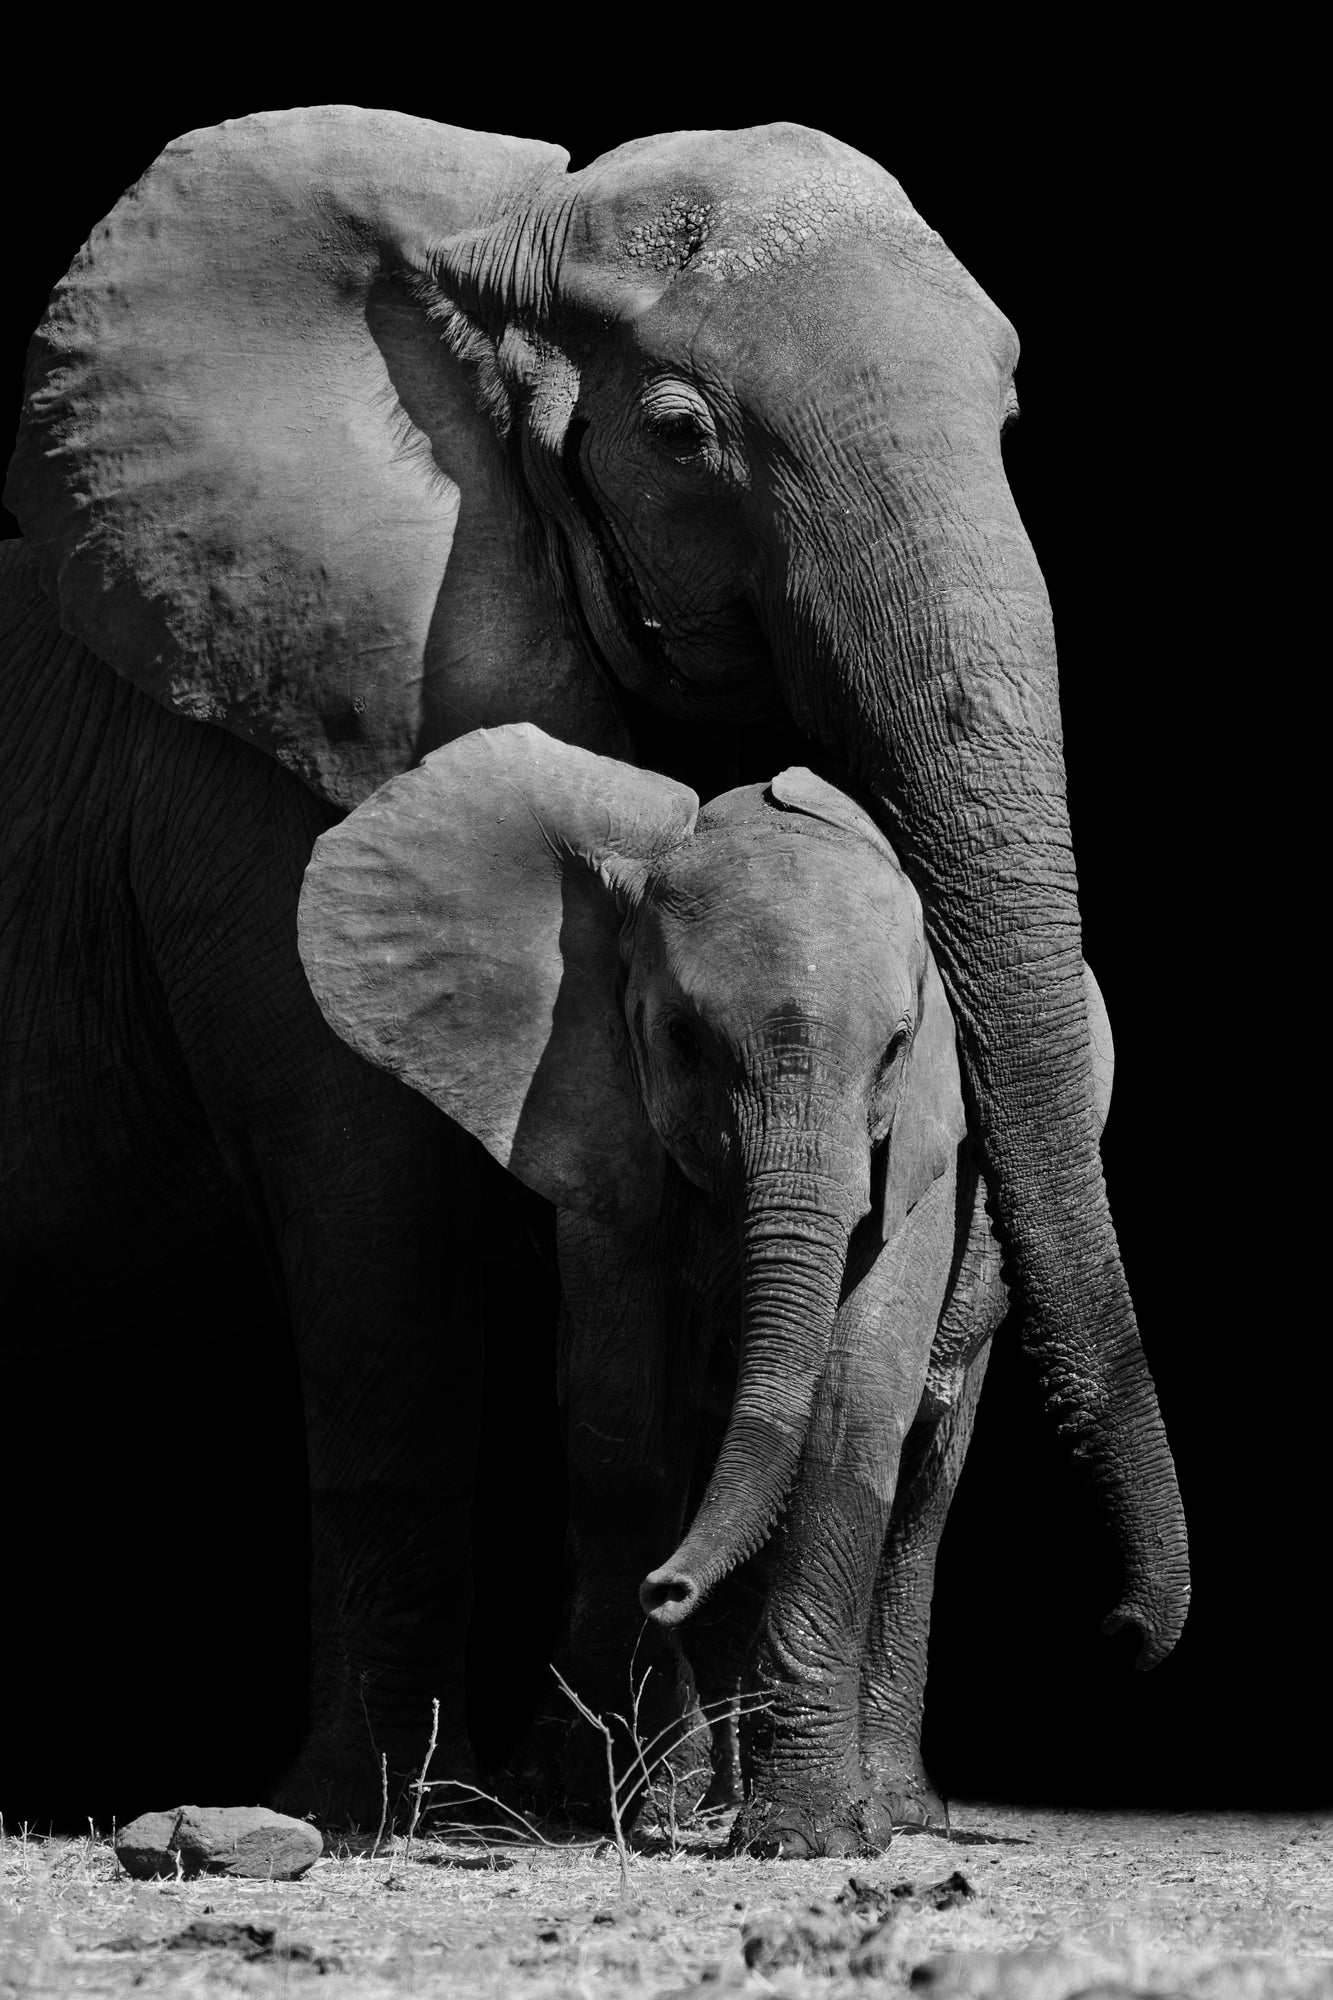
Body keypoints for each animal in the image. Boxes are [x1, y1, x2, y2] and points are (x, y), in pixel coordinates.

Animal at [296, 721, 1116, 1856]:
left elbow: (852, 1405)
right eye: (682, 1039)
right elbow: (623, 1414)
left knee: (926, 1474)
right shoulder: (594, 1117)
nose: (666, 1585)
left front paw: (810, 1836)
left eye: (899, 1048)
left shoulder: (934, 1148)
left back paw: (887, 1804)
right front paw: (625, 1806)